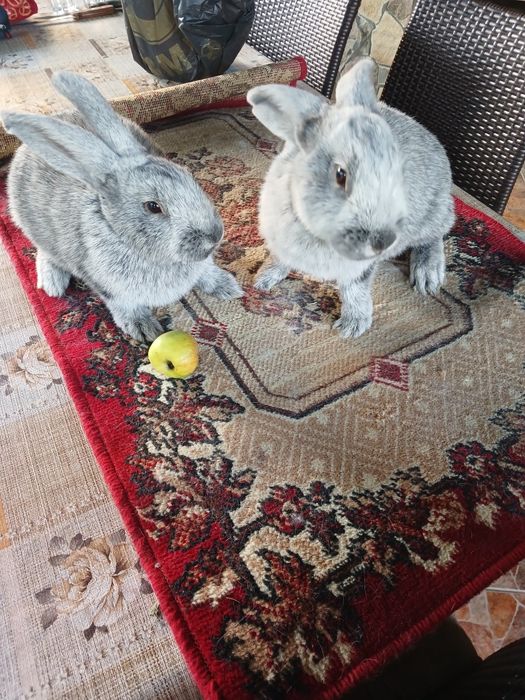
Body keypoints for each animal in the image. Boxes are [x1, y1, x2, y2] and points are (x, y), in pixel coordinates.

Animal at [1, 71, 243, 342]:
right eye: (153, 207)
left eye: (189, 175)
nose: (215, 236)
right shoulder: (111, 289)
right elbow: (126, 307)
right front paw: (144, 329)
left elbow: (207, 272)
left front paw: (229, 287)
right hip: (33, 227)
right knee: (45, 251)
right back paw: (53, 284)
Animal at [246, 58, 454, 338]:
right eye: (340, 174)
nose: (383, 242)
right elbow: (279, 261)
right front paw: (262, 279)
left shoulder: (360, 268)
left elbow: (355, 289)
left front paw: (352, 327)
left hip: (432, 214)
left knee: (436, 235)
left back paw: (427, 275)